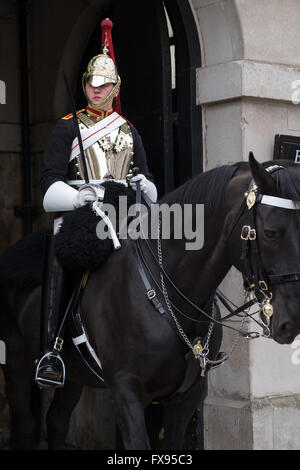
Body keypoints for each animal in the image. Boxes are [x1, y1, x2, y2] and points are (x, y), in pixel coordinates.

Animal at [1, 154, 300, 448]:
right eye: (270, 232)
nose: (291, 321)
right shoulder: (126, 392)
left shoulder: (187, 397)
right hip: (16, 358)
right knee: (26, 423)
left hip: (75, 373)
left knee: (56, 422)